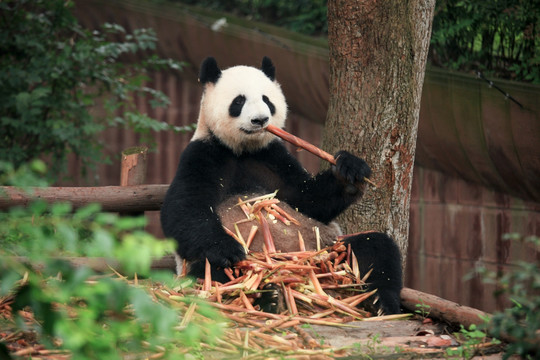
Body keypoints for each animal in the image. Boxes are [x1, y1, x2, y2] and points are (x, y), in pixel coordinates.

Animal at [158, 57, 402, 316]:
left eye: (267, 100)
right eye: (239, 101)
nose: (260, 120)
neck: (242, 150)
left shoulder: (272, 157)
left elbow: (310, 200)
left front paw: (350, 171)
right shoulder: (203, 154)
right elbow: (183, 210)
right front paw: (228, 248)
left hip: (329, 248)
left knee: (375, 247)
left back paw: (382, 303)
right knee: (216, 272)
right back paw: (268, 296)